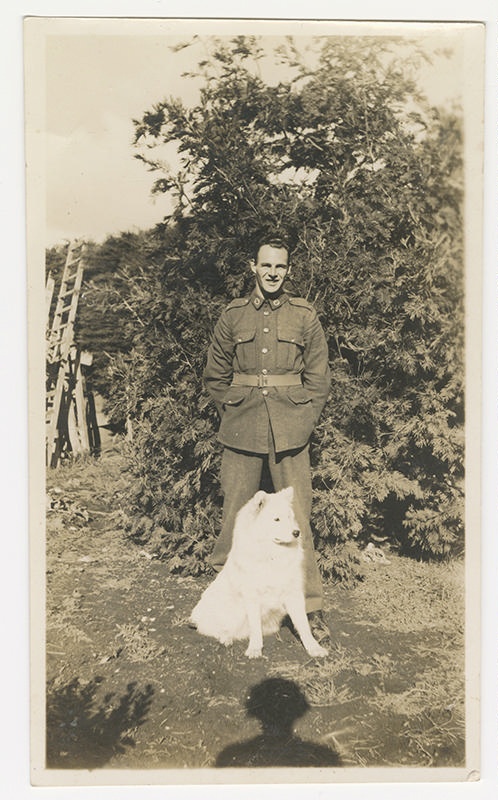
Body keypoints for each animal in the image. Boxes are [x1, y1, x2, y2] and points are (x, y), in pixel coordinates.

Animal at [190, 484, 326, 660]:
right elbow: (255, 627)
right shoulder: (252, 596)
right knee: (216, 629)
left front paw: (314, 648)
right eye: (276, 519)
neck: (272, 555)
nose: (297, 532)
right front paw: (255, 649)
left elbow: (303, 625)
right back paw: (226, 638)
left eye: (290, 517)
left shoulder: (294, 594)